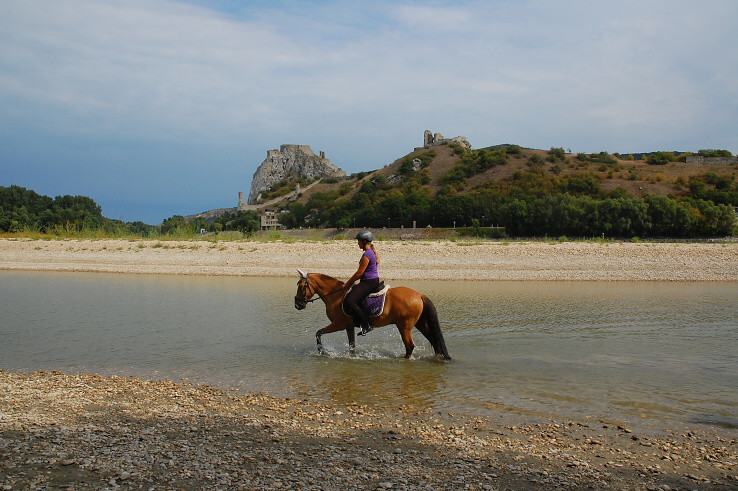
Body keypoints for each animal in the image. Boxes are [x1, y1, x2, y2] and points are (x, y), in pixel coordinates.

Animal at [294, 270, 451, 360]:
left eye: (301, 286)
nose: (297, 305)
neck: (336, 296)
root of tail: (419, 295)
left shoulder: (339, 324)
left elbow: (318, 333)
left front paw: (322, 351)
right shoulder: (348, 326)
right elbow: (351, 346)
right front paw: (351, 357)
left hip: (404, 326)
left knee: (410, 346)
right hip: (419, 323)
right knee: (433, 340)